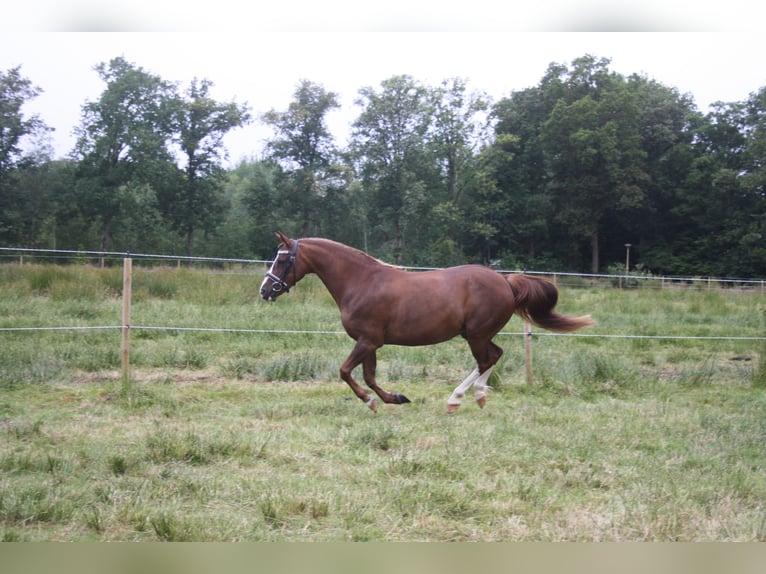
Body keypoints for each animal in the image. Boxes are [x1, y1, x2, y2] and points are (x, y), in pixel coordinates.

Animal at [260, 233, 592, 414]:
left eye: (282, 259)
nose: (265, 290)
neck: (361, 281)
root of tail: (505, 281)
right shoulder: (371, 343)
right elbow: (369, 375)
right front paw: (395, 398)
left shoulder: (367, 340)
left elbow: (346, 372)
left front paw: (372, 402)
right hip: (478, 334)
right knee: (495, 356)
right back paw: (478, 397)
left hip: (477, 334)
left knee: (486, 360)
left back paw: (457, 400)